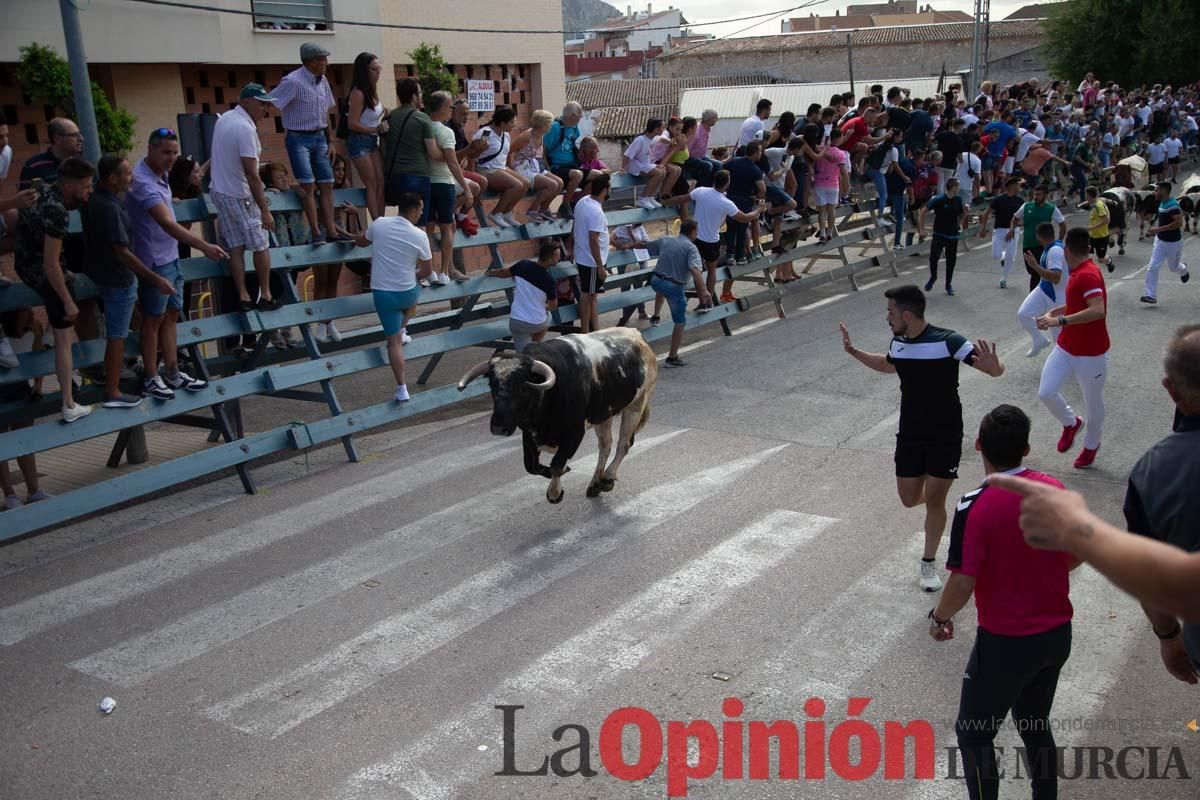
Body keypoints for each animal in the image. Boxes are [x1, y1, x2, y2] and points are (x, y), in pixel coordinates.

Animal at [460, 326, 667, 503]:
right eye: (492, 385)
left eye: (523, 388)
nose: (499, 427)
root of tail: (637, 336)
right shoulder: (529, 433)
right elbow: (531, 465)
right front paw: (557, 473)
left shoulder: (574, 433)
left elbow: (557, 464)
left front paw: (554, 493)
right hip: (603, 415)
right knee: (605, 446)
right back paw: (595, 483)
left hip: (636, 405)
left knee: (623, 444)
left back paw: (607, 478)